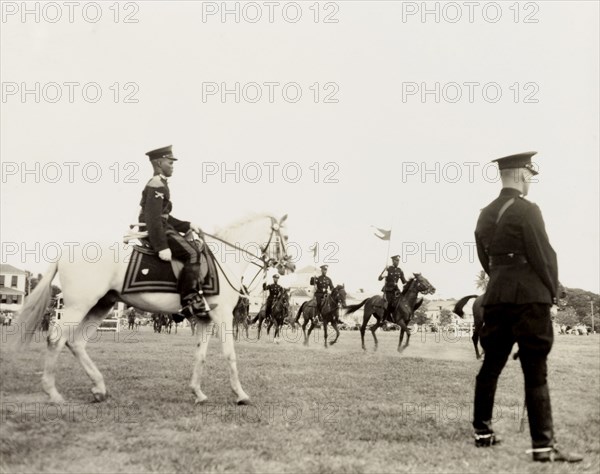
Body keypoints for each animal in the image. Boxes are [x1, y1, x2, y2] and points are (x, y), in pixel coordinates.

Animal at [7, 215, 292, 404]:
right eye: (286, 237)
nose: (289, 264)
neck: (223, 258)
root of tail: (65, 253)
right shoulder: (221, 317)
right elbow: (230, 355)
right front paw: (241, 395)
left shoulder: (203, 319)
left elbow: (200, 356)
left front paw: (198, 392)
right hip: (79, 305)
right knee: (56, 339)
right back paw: (53, 393)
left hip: (101, 305)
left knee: (76, 343)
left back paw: (99, 388)